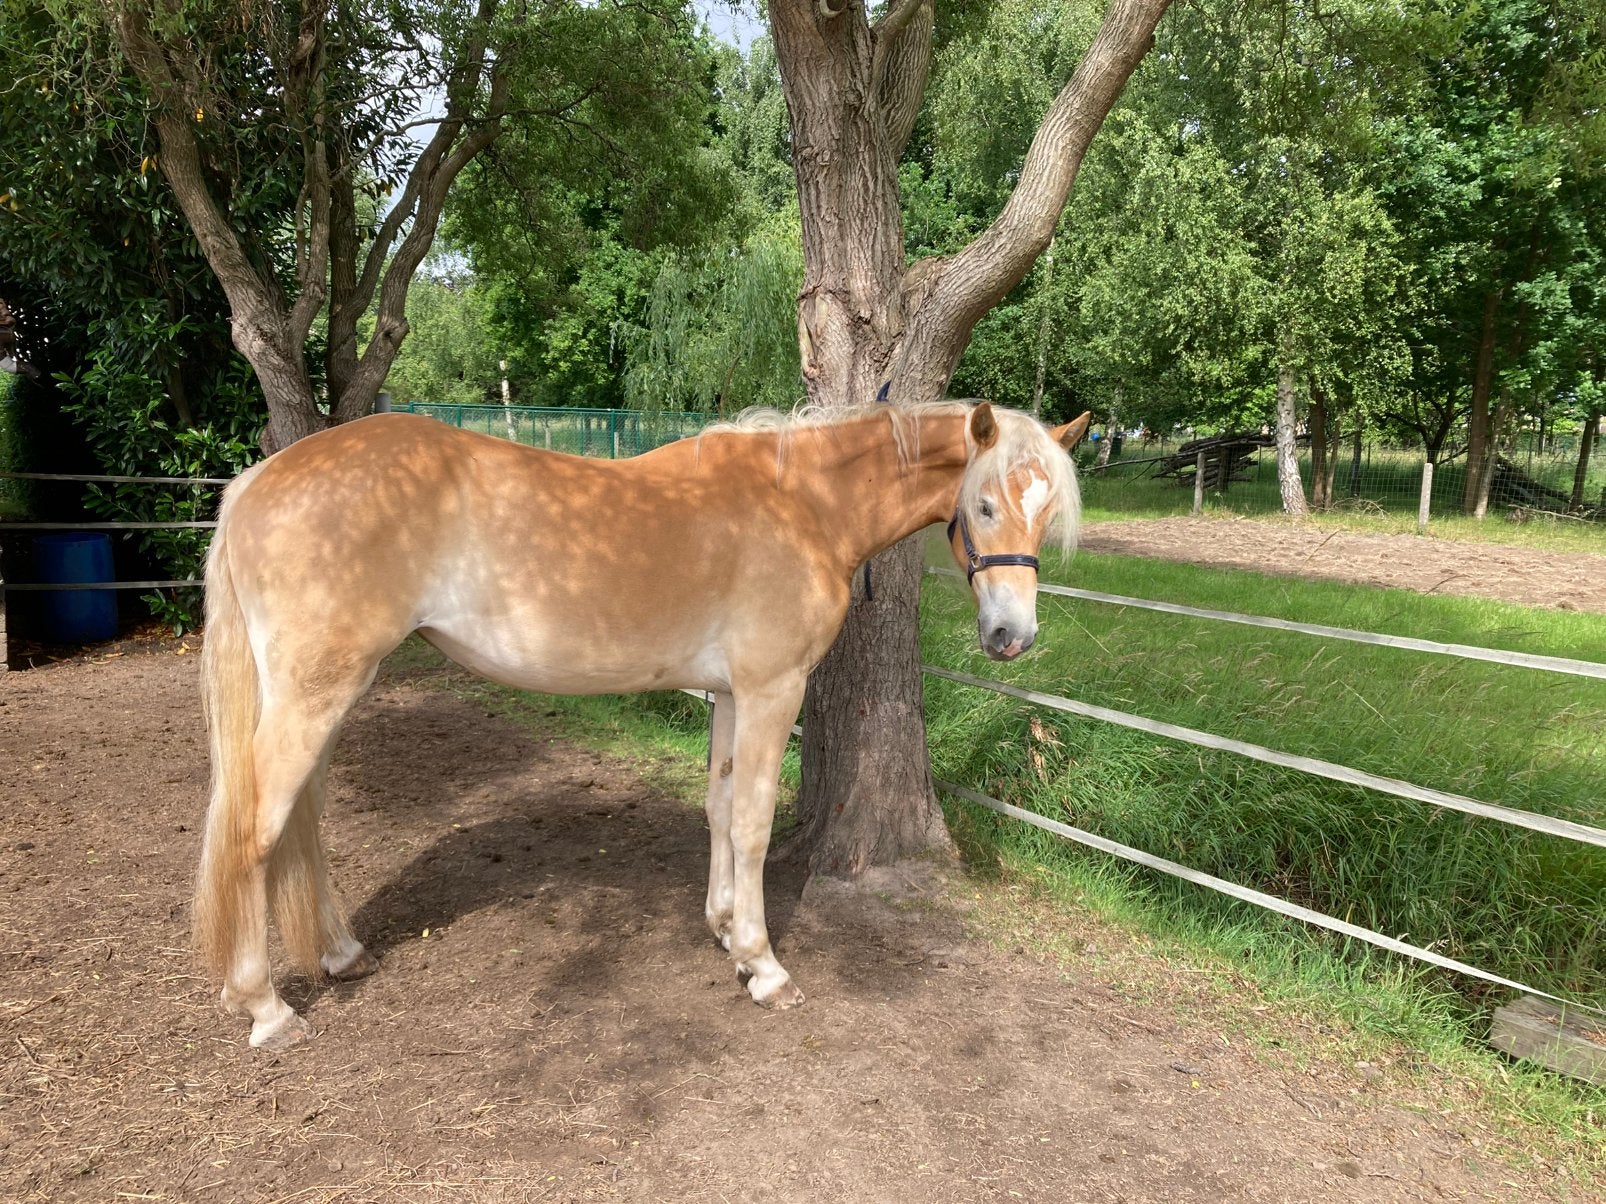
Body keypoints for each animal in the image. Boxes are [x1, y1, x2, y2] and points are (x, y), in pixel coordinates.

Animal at [196, 400, 1090, 1049]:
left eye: (1045, 513)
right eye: (983, 503)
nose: (1012, 637)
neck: (801, 502)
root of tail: (257, 481)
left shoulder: (730, 695)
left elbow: (721, 810)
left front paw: (726, 932)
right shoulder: (772, 690)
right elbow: (755, 823)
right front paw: (765, 967)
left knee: (300, 823)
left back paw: (341, 954)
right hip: (317, 693)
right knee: (256, 829)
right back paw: (265, 1008)